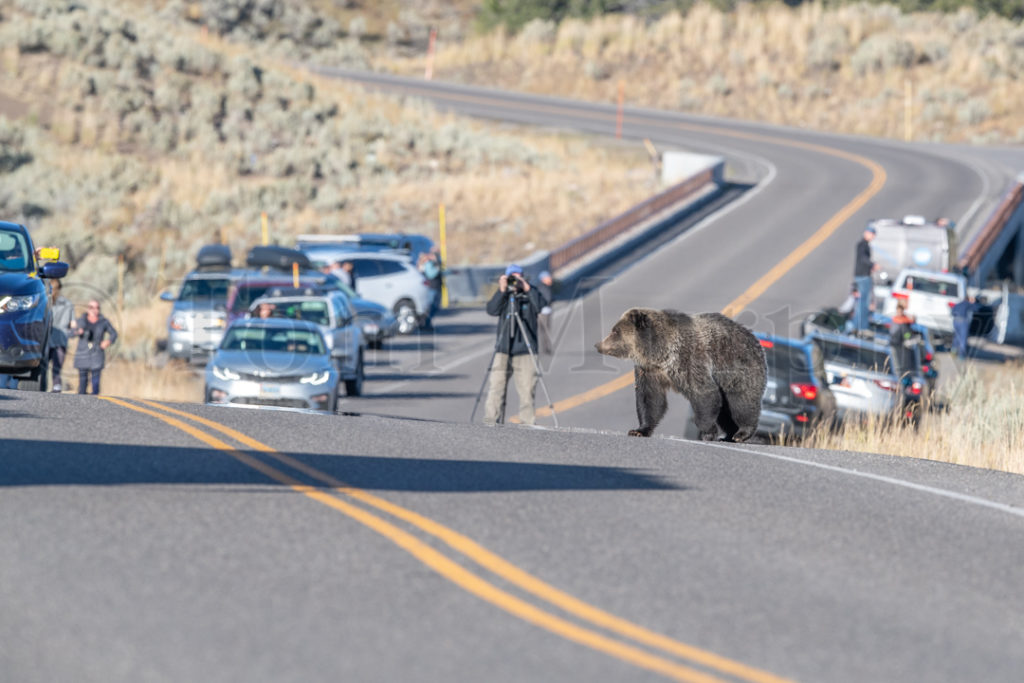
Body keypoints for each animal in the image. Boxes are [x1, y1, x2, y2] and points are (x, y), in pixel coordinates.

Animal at [598, 307, 765, 440]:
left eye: (615, 330)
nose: (598, 345)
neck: (660, 353)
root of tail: (754, 338)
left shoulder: (688, 360)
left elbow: (704, 394)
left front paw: (707, 432)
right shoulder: (650, 371)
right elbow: (650, 400)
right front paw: (639, 430)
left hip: (738, 367)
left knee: (741, 401)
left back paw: (741, 433)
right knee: (726, 410)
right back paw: (729, 435)